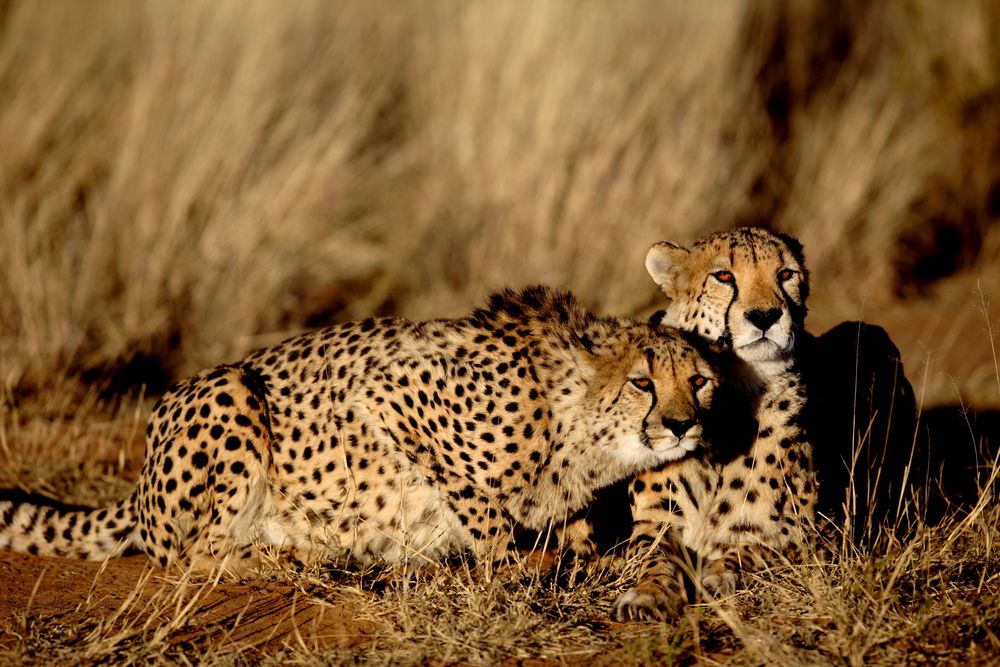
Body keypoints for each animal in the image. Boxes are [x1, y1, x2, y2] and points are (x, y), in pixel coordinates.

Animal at [0, 284, 724, 576]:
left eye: (701, 381)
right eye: (643, 382)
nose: (683, 425)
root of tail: (141, 481)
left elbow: (567, 525)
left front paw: (580, 550)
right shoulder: (394, 394)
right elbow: (480, 507)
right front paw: (509, 565)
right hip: (231, 391)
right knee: (190, 555)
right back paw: (291, 558)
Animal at [608, 228, 820, 620]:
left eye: (786, 274)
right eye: (724, 276)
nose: (765, 316)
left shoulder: (807, 533)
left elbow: (752, 548)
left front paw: (718, 574)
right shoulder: (656, 522)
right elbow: (653, 557)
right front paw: (646, 593)